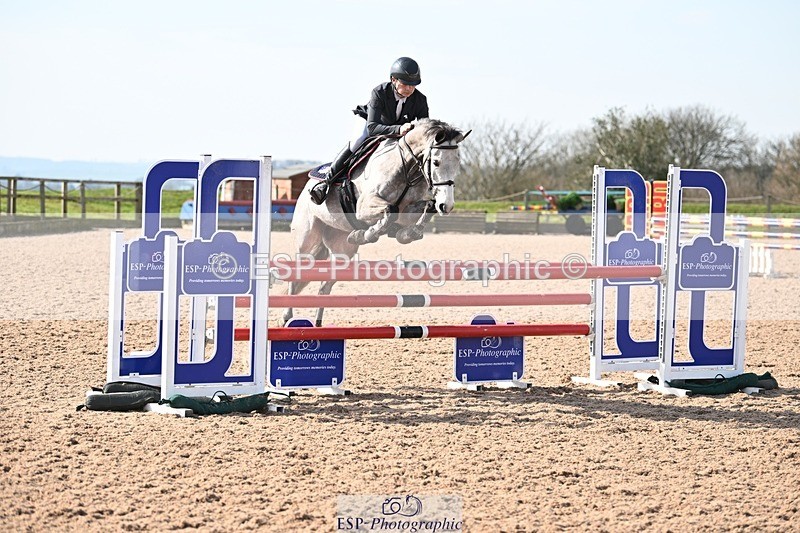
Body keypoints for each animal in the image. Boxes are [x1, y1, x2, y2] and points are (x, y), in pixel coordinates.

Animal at [283, 118, 470, 326]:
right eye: (436, 162)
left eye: (458, 163)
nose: (447, 205)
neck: (408, 169)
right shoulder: (363, 207)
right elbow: (390, 210)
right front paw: (364, 234)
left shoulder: (408, 211)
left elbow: (426, 208)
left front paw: (406, 234)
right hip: (306, 239)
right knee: (295, 276)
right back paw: (287, 317)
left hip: (342, 250)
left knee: (325, 286)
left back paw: (317, 324)